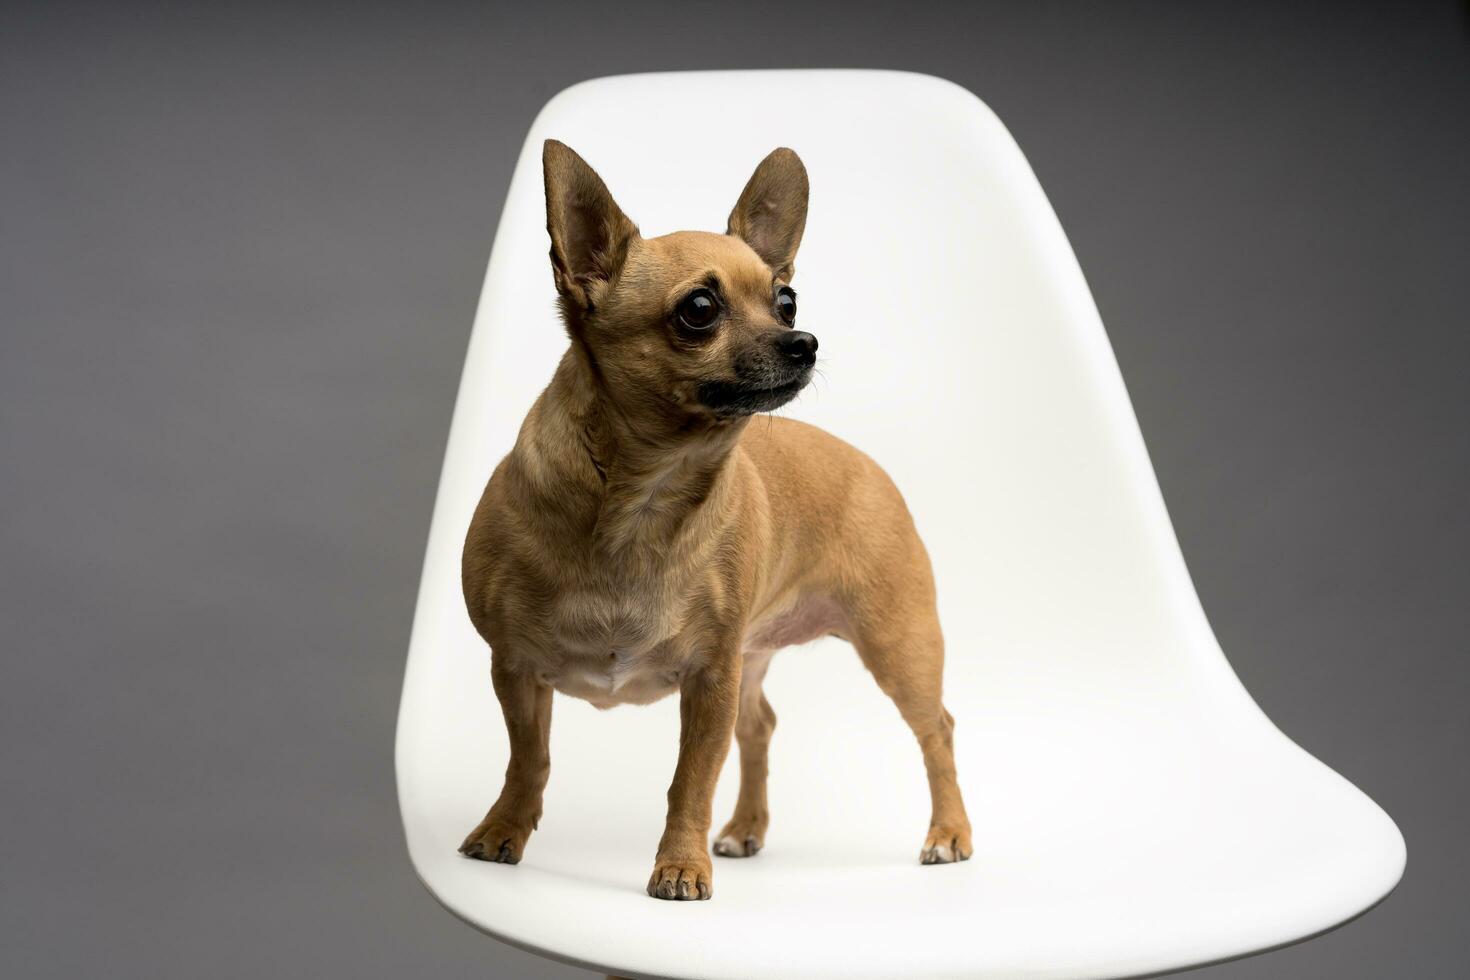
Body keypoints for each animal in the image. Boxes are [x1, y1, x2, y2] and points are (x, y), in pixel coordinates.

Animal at [455, 141, 964, 899]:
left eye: (786, 300)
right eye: (699, 308)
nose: (803, 339)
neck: (646, 498)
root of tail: (867, 463)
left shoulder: (709, 679)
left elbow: (691, 779)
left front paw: (679, 865)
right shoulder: (516, 669)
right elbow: (528, 760)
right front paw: (503, 831)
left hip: (897, 646)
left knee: (937, 728)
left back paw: (949, 833)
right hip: (762, 661)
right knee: (760, 728)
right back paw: (747, 827)